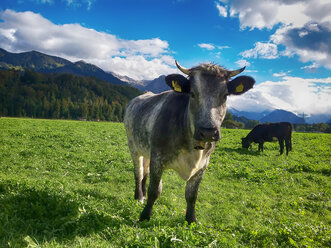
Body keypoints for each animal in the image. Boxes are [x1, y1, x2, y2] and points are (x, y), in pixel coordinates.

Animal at [124, 59, 256, 223]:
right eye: (192, 94)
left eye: (225, 95)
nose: (208, 132)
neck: (193, 148)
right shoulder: (157, 158)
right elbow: (155, 190)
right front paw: (145, 216)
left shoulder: (203, 165)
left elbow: (192, 195)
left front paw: (191, 219)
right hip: (133, 146)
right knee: (139, 172)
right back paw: (139, 196)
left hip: (146, 149)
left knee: (145, 172)